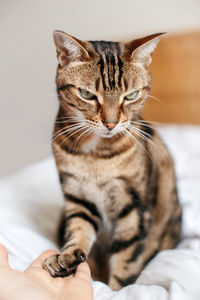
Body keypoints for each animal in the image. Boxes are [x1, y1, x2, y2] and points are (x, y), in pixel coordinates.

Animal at [43, 30, 181, 290]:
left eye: (131, 96)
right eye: (87, 94)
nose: (111, 123)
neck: (96, 157)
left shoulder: (133, 210)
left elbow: (126, 264)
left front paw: (116, 290)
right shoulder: (78, 197)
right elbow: (79, 231)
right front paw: (66, 257)